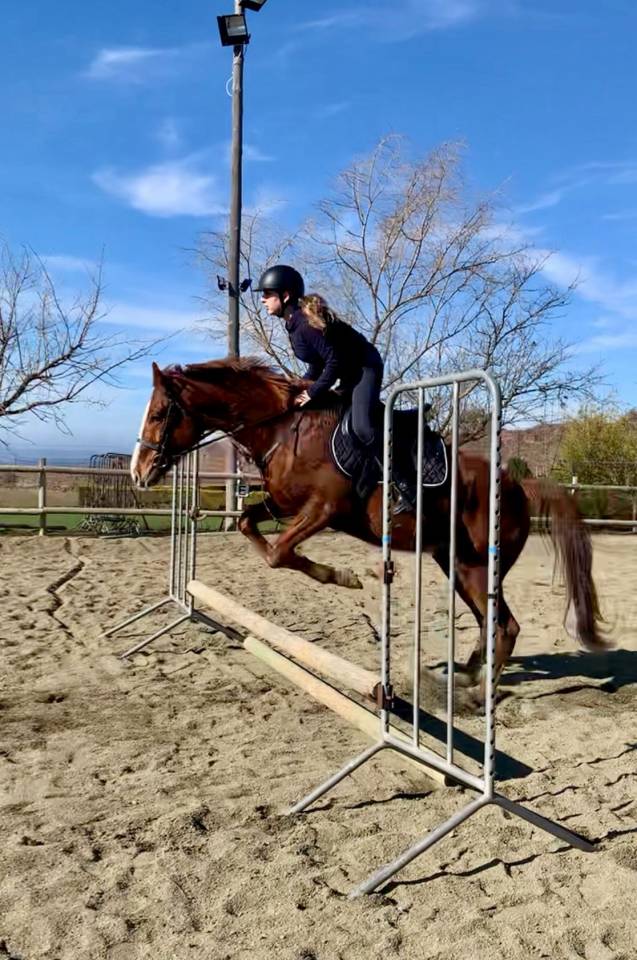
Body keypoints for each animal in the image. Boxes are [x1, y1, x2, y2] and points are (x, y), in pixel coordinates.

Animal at [130, 358, 608, 690]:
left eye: (158, 414)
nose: (139, 473)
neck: (284, 430)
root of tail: (518, 485)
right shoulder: (283, 503)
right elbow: (251, 526)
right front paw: (343, 576)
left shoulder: (324, 509)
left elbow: (280, 553)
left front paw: (345, 577)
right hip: (455, 564)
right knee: (489, 623)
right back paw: (465, 676)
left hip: (476, 568)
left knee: (505, 626)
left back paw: (478, 691)